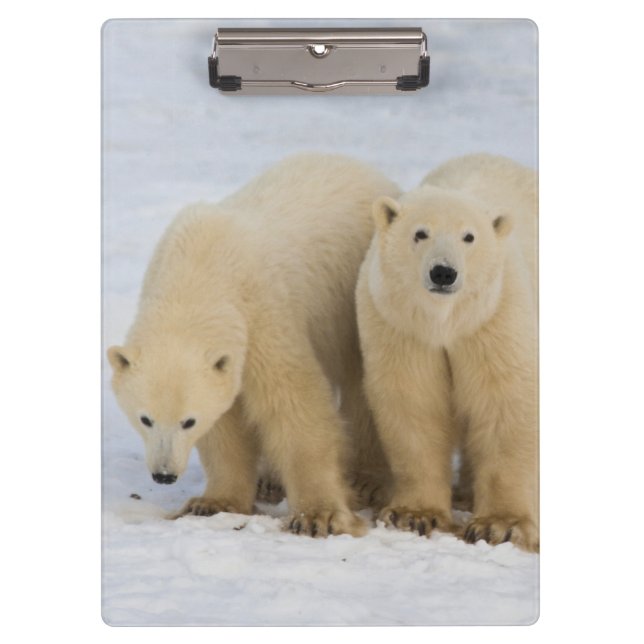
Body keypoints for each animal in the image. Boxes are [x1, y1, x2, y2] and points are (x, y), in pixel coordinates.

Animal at [107, 153, 398, 538]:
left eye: (188, 421)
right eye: (145, 418)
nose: (164, 475)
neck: (198, 270)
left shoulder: (263, 314)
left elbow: (293, 403)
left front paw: (318, 516)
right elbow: (225, 424)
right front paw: (212, 503)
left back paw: (366, 479)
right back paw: (269, 481)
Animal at [355, 153, 538, 552]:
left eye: (469, 236)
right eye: (419, 233)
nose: (443, 272)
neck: (445, 321)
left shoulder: (493, 317)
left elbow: (503, 401)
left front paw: (501, 525)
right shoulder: (401, 327)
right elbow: (415, 402)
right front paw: (414, 514)